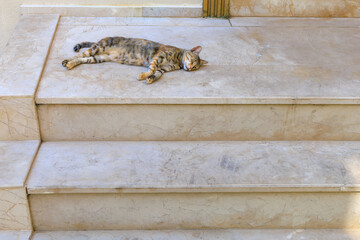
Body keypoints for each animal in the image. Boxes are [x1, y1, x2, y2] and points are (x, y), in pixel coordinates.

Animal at [62, 36, 208, 84]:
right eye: (192, 60)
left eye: (196, 67)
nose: (190, 68)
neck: (177, 61)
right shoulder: (158, 57)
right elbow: (152, 69)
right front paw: (143, 75)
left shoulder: (163, 69)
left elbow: (157, 74)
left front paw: (150, 79)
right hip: (98, 48)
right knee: (80, 55)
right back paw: (66, 61)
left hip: (98, 58)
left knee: (84, 59)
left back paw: (71, 64)